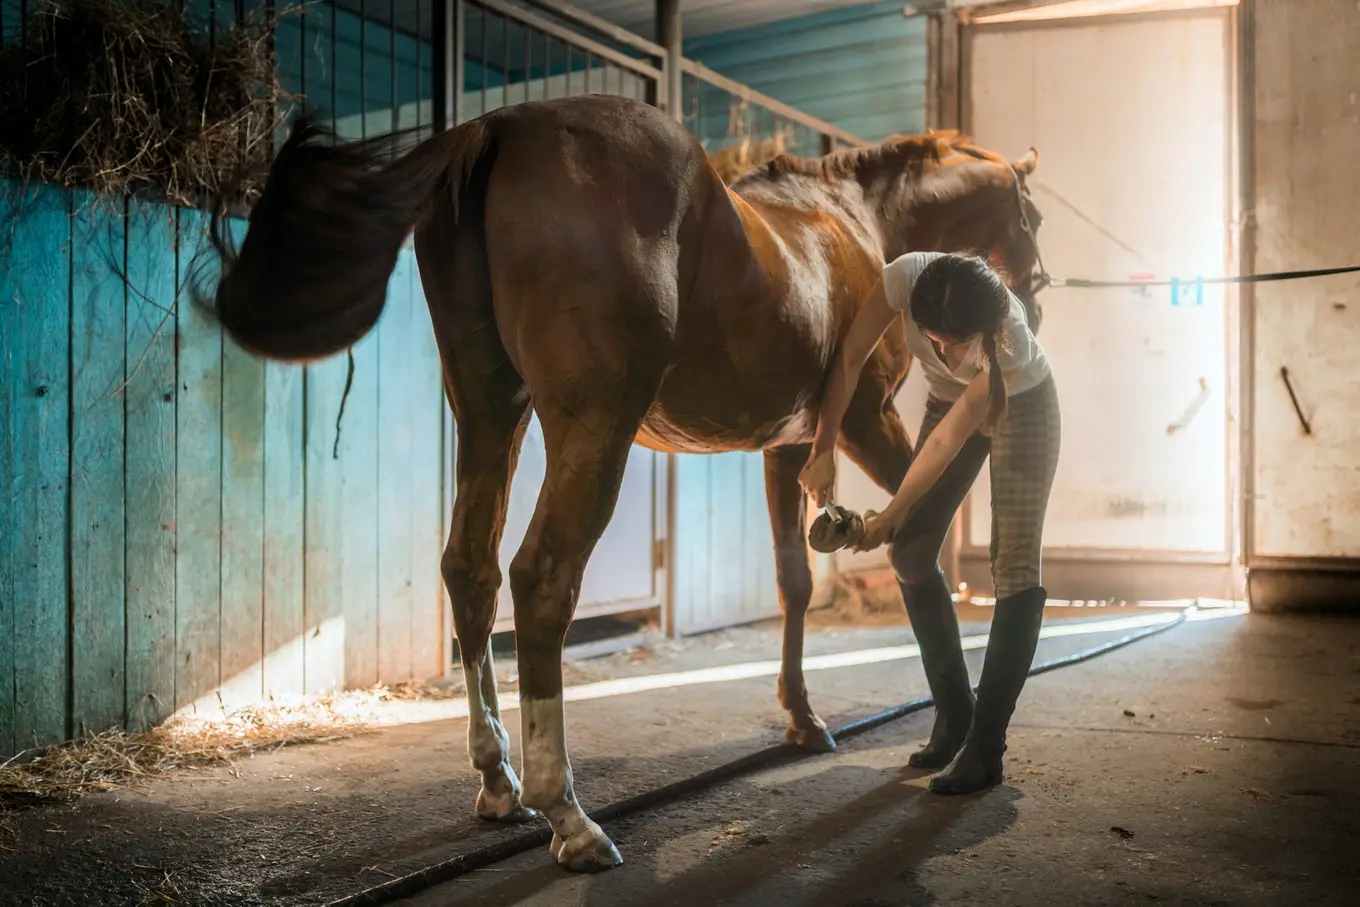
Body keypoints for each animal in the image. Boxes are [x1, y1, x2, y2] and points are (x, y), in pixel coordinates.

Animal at [201, 92, 1044, 870]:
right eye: (1030, 215)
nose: (1032, 296)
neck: (852, 222)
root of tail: (497, 127)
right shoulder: (868, 422)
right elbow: (918, 527)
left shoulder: (789, 447)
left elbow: (795, 582)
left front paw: (804, 719)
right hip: (591, 426)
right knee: (541, 578)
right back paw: (571, 819)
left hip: (489, 410)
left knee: (471, 569)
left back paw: (500, 782)